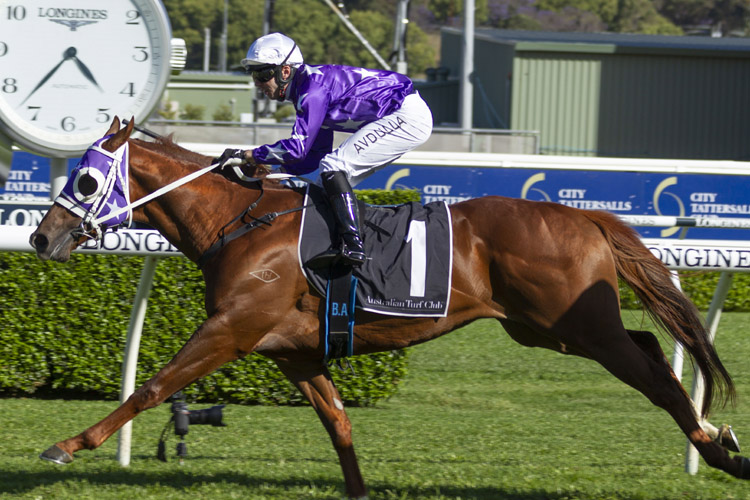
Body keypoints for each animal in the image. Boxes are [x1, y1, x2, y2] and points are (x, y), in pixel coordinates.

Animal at [30, 117, 750, 496]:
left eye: (85, 180)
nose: (40, 238)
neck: (240, 223)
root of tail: (581, 216)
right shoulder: (293, 352)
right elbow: (339, 422)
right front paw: (357, 487)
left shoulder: (232, 328)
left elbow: (153, 386)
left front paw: (67, 446)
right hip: (548, 329)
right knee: (652, 347)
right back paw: (716, 441)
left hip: (576, 321)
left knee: (653, 370)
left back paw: (716, 448)